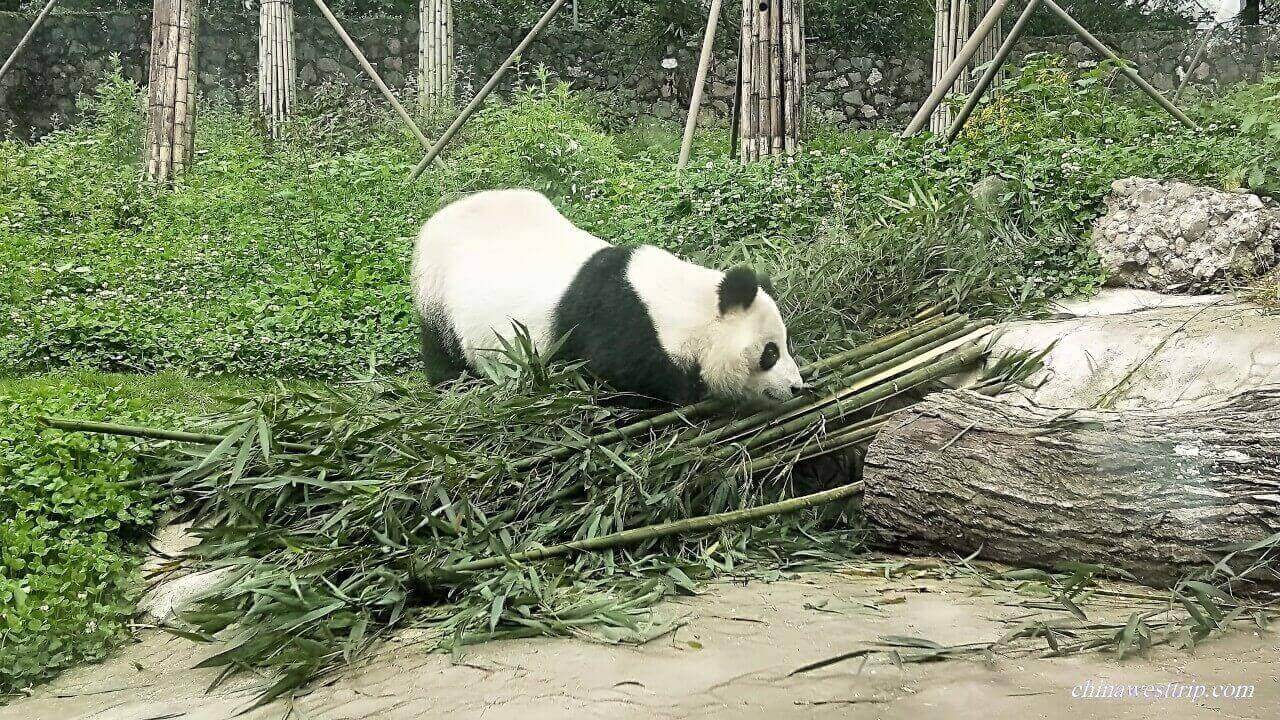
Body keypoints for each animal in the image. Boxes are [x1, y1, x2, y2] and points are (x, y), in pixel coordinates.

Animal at [409, 189, 805, 406]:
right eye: (770, 353)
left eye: (786, 345)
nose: (797, 387)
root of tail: (438, 216)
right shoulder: (619, 326)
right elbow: (615, 379)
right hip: (437, 291)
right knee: (444, 351)